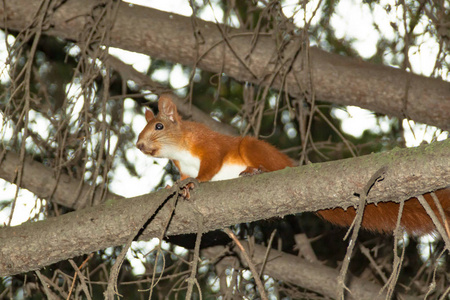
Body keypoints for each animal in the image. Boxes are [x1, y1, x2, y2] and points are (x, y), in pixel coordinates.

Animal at [136, 95, 450, 236]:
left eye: (159, 126)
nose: (138, 145)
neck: (180, 148)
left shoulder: (209, 144)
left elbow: (211, 164)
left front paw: (196, 183)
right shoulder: (183, 164)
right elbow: (182, 176)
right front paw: (176, 185)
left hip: (251, 148)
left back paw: (257, 170)